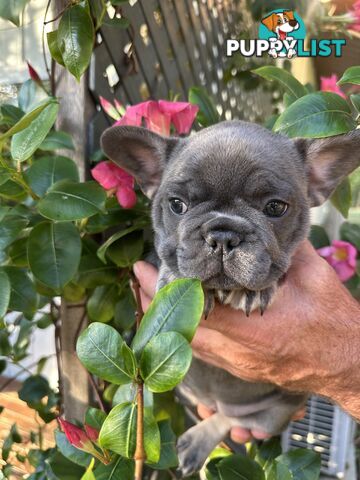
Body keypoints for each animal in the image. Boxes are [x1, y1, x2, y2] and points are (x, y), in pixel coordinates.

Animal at [100, 121, 360, 476]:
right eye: (177, 204)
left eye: (275, 207)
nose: (223, 235)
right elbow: (169, 259)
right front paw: (177, 277)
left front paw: (255, 290)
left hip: (275, 413)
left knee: (232, 419)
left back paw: (197, 442)